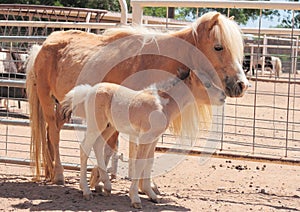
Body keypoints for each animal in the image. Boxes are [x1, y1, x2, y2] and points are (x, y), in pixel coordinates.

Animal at [25, 12, 250, 186]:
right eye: (218, 47)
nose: (242, 85)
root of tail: (42, 46)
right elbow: (113, 148)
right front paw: (101, 181)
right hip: (47, 100)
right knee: (54, 133)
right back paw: (59, 175)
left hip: (63, 106)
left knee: (52, 132)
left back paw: (51, 171)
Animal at [61, 68, 225, 209]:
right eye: (207, 84)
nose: (223, 96)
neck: (162, 105)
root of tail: (89, 90)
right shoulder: (146, 137)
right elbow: (139, 163)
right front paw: (135, 198)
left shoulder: (154, 139)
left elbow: (149, 161)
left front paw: (152, 195)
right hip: (96, 125)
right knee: (85, 148)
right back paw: (86, 191)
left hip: (109, 126)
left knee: (99, 145)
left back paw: (107, 186)